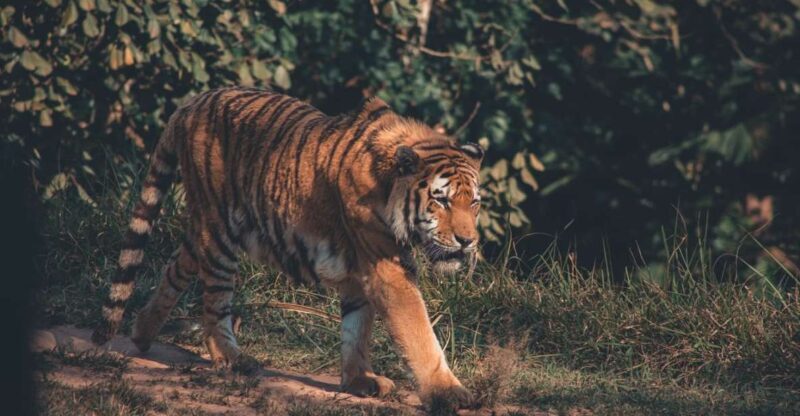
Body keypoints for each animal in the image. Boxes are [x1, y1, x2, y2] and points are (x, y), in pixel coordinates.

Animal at [91, 86, 484, 407]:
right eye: (442, 200)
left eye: (475, 203)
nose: (467, 241)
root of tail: (191, 103)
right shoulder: (386, 267)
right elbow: (417, 331)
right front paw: (447, 393)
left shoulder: (360, 270)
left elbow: (356, 327)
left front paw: (359, 380)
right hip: (219, 233)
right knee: (214, 303)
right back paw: (233, 359)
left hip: (205, 228)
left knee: (177, 265)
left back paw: (142, 332)